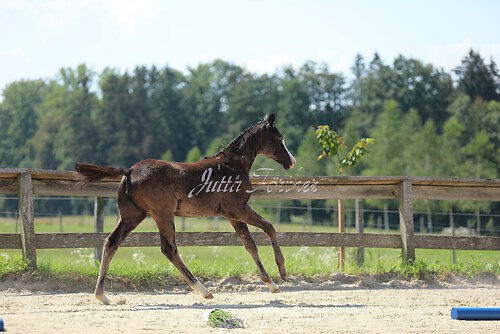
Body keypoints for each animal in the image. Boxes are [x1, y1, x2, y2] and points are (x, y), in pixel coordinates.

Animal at [73, 113, 292, 304]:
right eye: (280, 137)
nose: (291, 161)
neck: (232, 165)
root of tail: (129, 171)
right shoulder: (237, 209)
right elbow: (269, 226)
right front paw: (282, 271)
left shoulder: (232, 215)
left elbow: (250, 244)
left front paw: (271, 284)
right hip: (163, 214)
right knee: (169, 249)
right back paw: (203, 290)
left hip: (132, 216)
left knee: (111, 243)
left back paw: (102, 295)